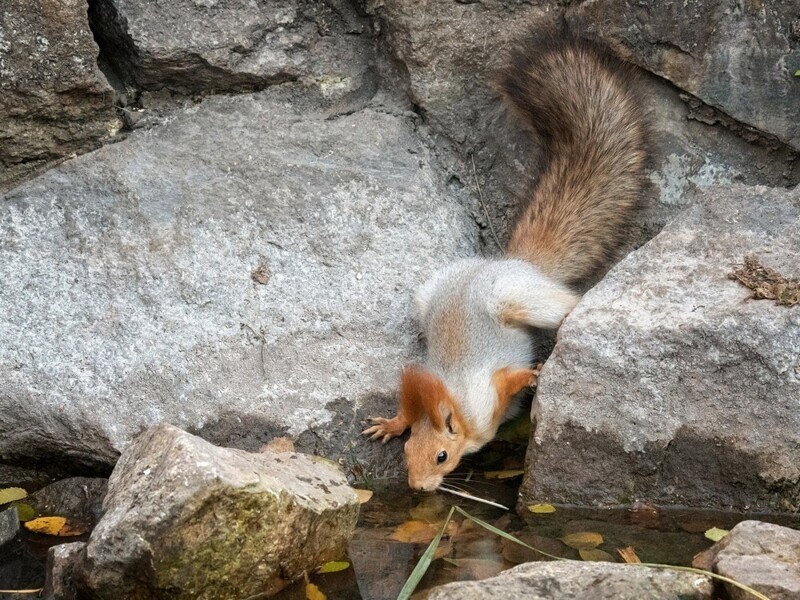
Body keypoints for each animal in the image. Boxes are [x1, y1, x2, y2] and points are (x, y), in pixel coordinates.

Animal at [362, 32, 648, 490]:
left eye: (442, 456)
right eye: (407, 452)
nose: (417, 486)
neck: (456, 400)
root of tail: (507, 263)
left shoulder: (486, 392)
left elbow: (507, 379)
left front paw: (532, 375)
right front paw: (391, 422)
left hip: (518, 297)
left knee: (566, 304)